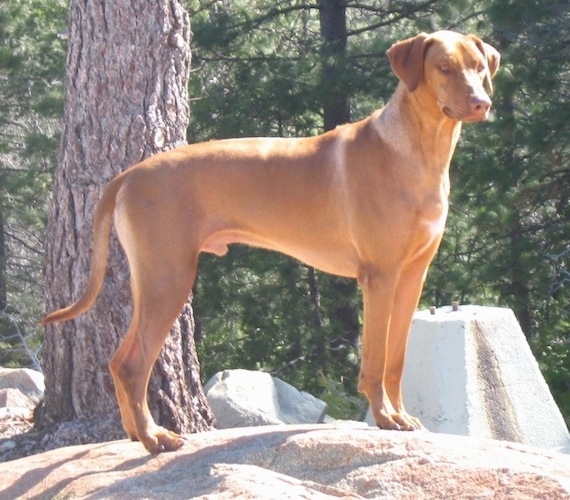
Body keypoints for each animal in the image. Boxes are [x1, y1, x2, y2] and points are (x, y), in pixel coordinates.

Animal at [43, 30, 496, 454]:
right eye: (443, 67)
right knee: (132, 367)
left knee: (118, 360)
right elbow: (374, 360)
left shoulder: (412, 277)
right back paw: (157, 439)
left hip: (153, 282)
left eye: (478, 67)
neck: (419, 149)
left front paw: (401, 415)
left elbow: (396, 361)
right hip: (167, 279)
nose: (481, 103)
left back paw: (139, 433)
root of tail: (128, 175)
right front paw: (385, 418)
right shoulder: (380, 278)